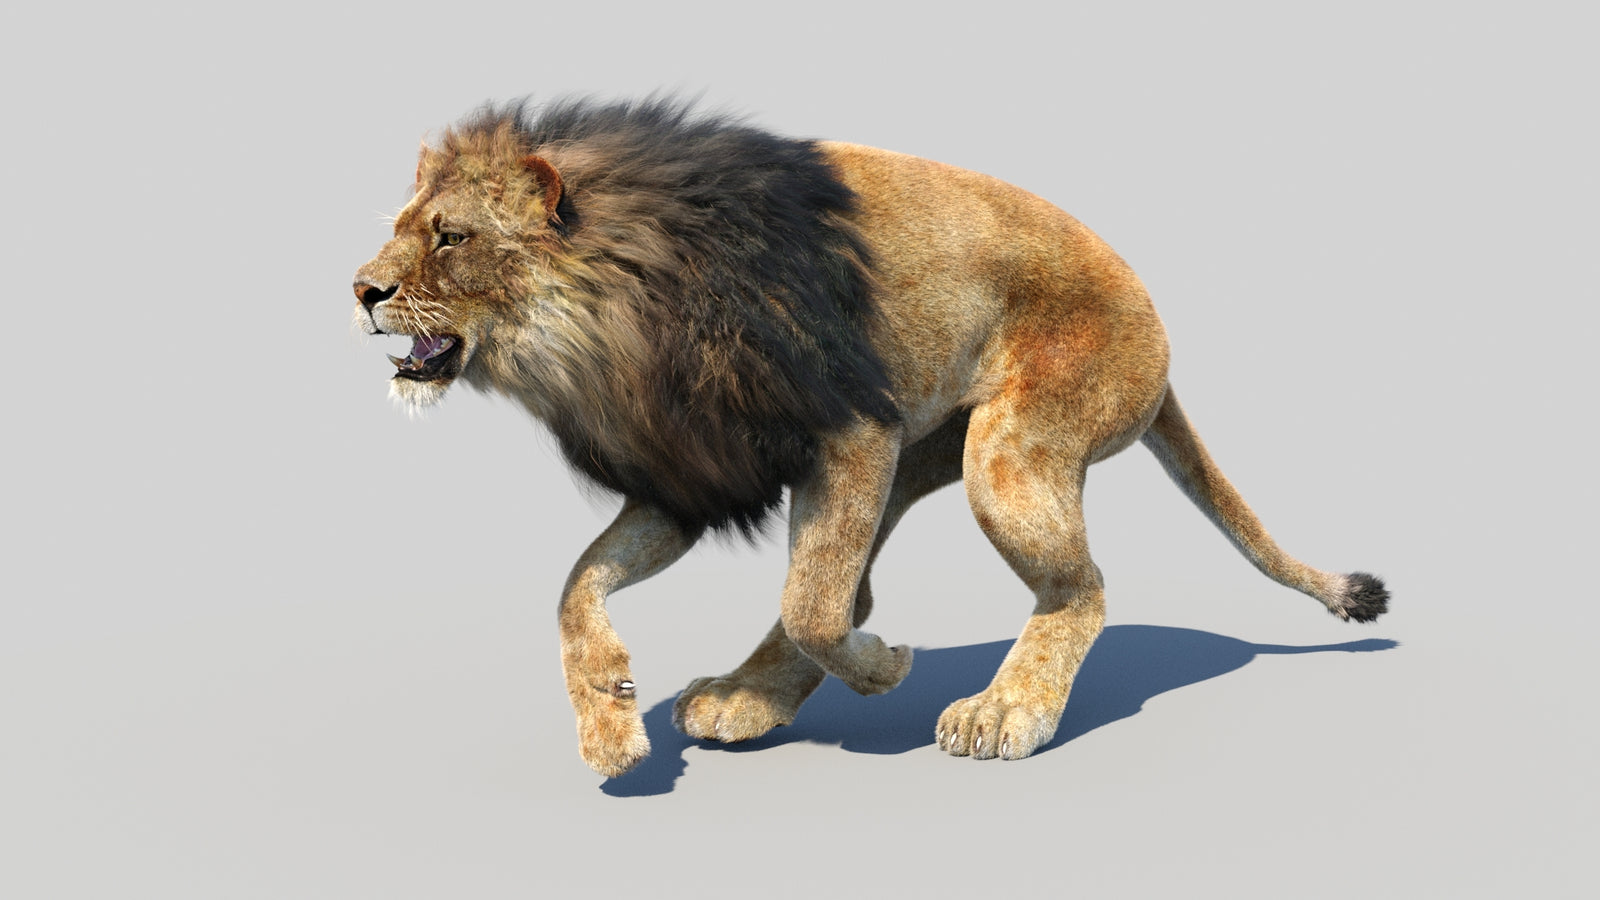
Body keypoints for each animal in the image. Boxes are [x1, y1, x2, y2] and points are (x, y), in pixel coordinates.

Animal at [352, 97, 1389, 777]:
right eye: (401, 226)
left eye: (449, 237)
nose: (361, 289)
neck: (615, 310)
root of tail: (1160, 331)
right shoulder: (690, 474)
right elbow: (577, 589)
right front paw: (609, 722)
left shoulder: (849, 431)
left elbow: (814, 604)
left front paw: (887, 669)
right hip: (922, 455)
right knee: (857, 580)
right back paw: (746, 700)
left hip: (1007, 451)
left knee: (1078, 589)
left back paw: (1006, 709)